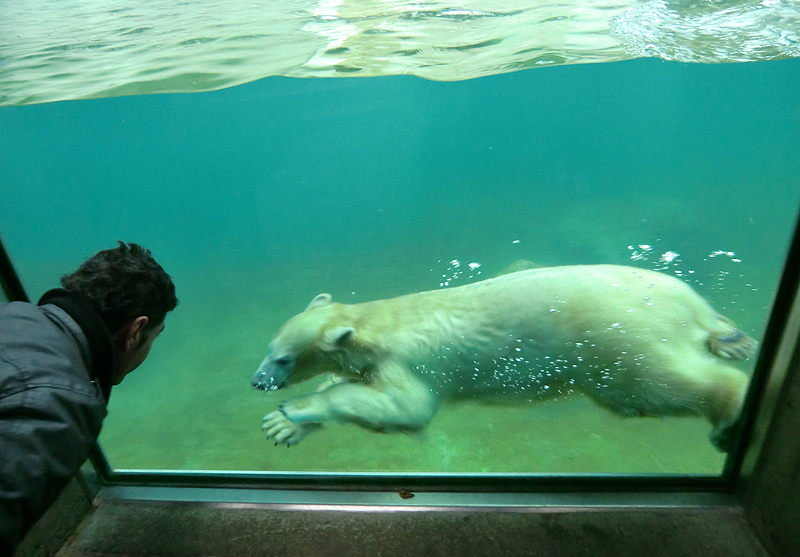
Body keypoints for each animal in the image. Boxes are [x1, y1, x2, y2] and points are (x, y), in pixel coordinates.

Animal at [253, 264, 752, 452]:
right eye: (269, 350)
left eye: (282, 359)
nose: (258, 381)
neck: (376, 322)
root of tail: (693, 306)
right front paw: (282, 428)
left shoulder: (407, 360)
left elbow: (405, 407)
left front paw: (293, 409)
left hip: (614, 340)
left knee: (654, 385)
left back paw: (729, 418)